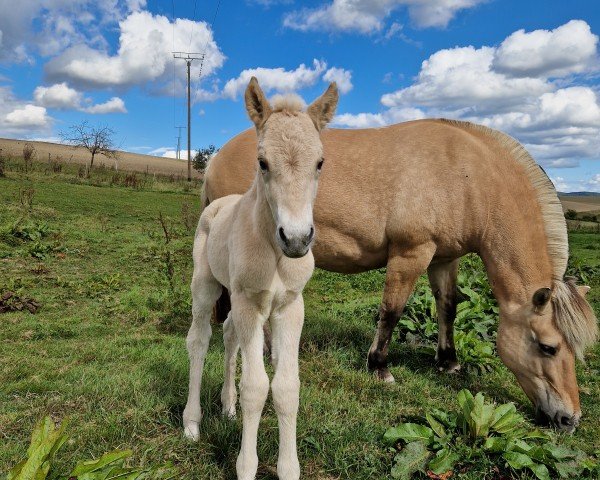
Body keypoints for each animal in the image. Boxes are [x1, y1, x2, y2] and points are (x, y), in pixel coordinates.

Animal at [180, 77, 340, 478]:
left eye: (320, 162)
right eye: (262, 162)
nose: (296, 239)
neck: (275, 253)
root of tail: (219, 203)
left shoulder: (288, 306)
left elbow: (286, 388)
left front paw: (288, 468)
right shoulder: (250, 303)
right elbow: (256, 387)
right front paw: (247, 467)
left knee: (229, 336)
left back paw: (228, 407)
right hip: (207, 287)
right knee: (199, 339)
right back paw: (192, 423)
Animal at [204, 119, 596, 432]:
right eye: (548, 347)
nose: (570, 419)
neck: (466, 175)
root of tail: (216, 158)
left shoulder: (444, 259)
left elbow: (447, 308)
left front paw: (448, 361)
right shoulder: (411, 253)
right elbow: (391, 310)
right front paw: (379, 366)